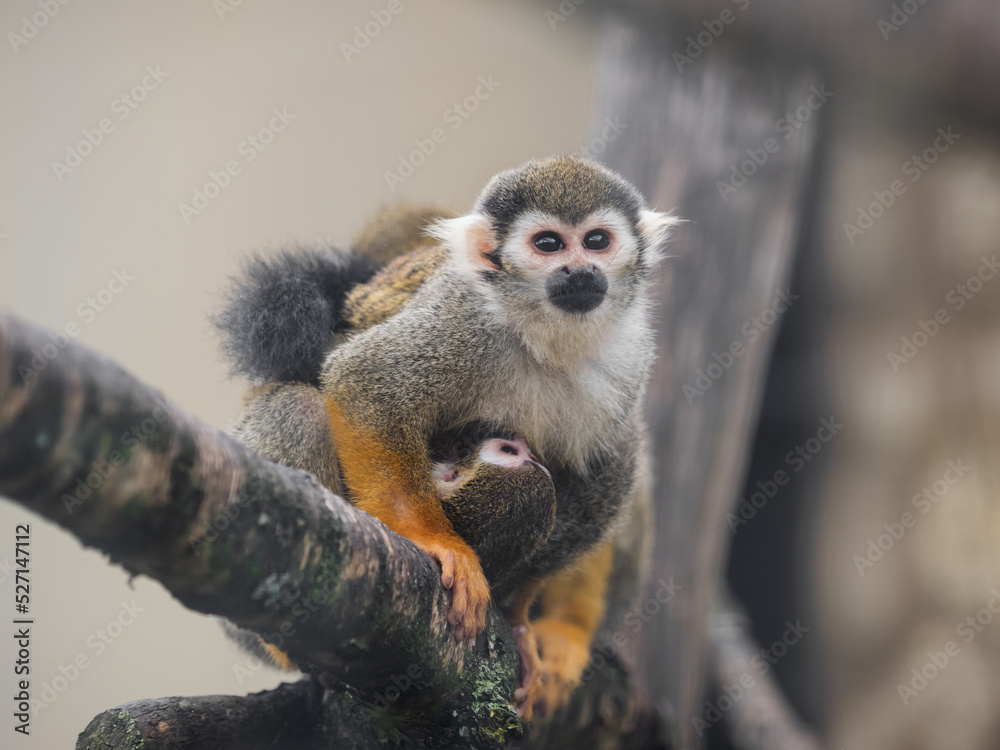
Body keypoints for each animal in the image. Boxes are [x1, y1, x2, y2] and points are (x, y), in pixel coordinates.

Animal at [215, 156, 676, 720]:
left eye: (596, 241)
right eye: (548, 244)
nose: (580, 270)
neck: (546, 336)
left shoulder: (630, 359)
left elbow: (606, 476)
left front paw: (517, 618)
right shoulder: (462, 318)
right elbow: (368, 379)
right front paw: (437, 541)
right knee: (300, 408)